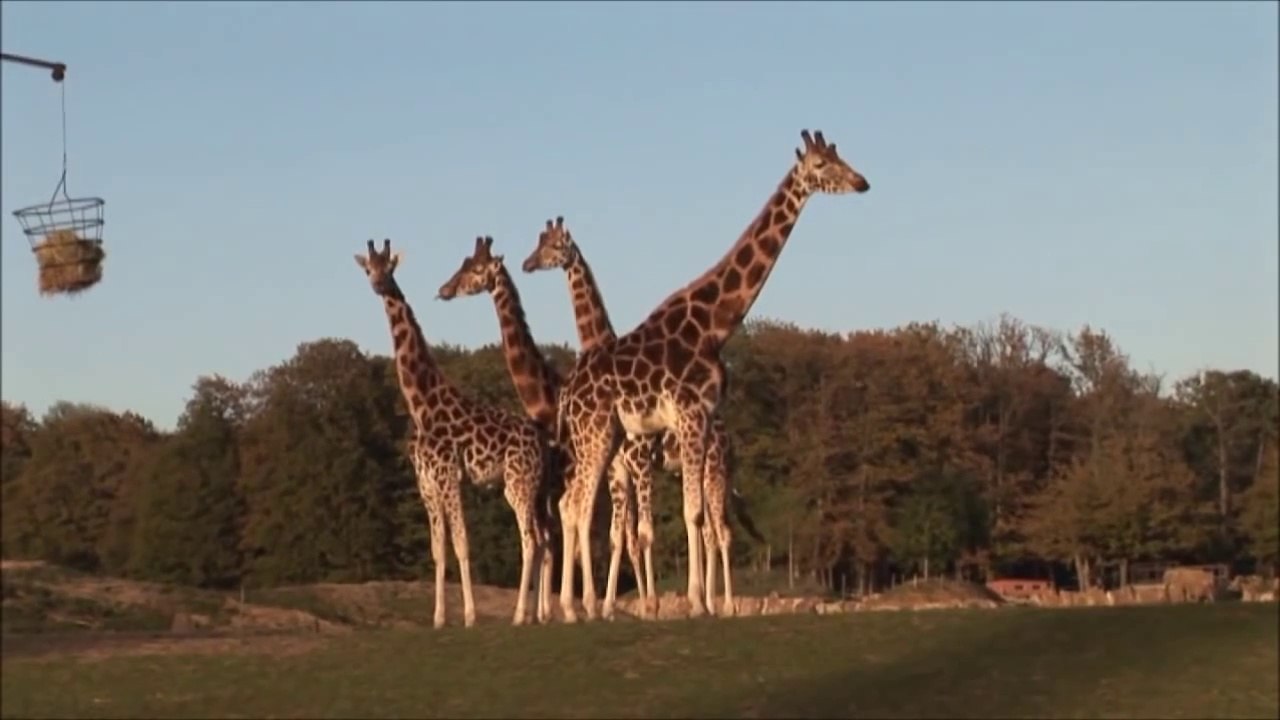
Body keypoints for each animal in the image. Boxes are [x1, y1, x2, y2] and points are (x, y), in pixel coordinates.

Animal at [355, 238, 553, 628]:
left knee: (531, 541)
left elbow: (462, 544)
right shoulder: (426, 484)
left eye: (390, 267)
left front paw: (471, 616)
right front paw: (438, 617)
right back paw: (536, 615)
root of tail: (539, 439)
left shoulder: (449, 476)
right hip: (526, 487)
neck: (421, 406)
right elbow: (438, 550)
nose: (380, 286)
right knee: (541, 540)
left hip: (520, 482)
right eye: (369, 269)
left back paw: (520, 615)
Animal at [439, 234, 658, 621]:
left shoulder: (557, 476)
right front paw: (549, 611)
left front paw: (558, 610)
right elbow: (556, 535)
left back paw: (657, 605)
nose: (445, 289)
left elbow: (557, 535)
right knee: (630, 533)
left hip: (638, 465)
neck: (546, 396)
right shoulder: (553, 480)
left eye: (476, 269)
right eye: (463, 262)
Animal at [552, 130, 869, 621]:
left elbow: (697, 516)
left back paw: (579, 606)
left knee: (574, 505)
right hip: (596, 433)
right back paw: (577, 607)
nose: (861, 182)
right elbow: (692, 516)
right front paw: (697, 605)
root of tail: (570, 392)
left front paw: (701, 601)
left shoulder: (698, 419)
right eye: (820, 165)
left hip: (607, 438)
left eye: (839, 156)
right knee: (578, 505)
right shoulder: (688, 414)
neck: (715, 323)